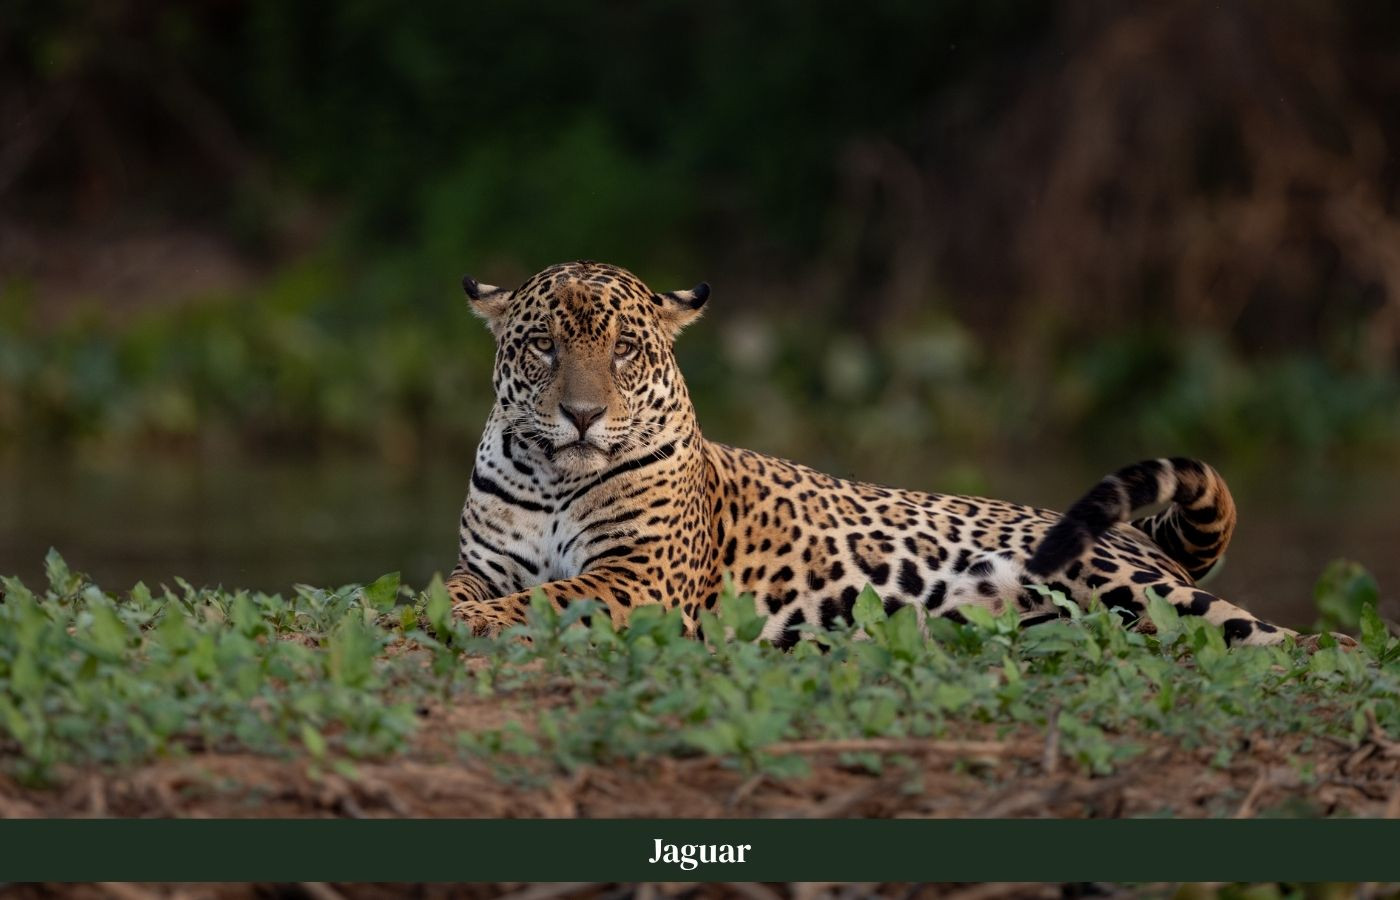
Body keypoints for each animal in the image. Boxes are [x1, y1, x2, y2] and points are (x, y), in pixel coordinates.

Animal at [445, 260, 1342, 650]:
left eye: (625, 350)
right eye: (545, 346)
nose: (583, 416)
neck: (555, 482)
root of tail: (1146, 542)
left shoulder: (640, 579)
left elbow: (547, 599)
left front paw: (477, 620)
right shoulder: (485, 561)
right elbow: (458, 587)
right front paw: (440, 610)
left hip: (1138, 585)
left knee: (1302, 642)